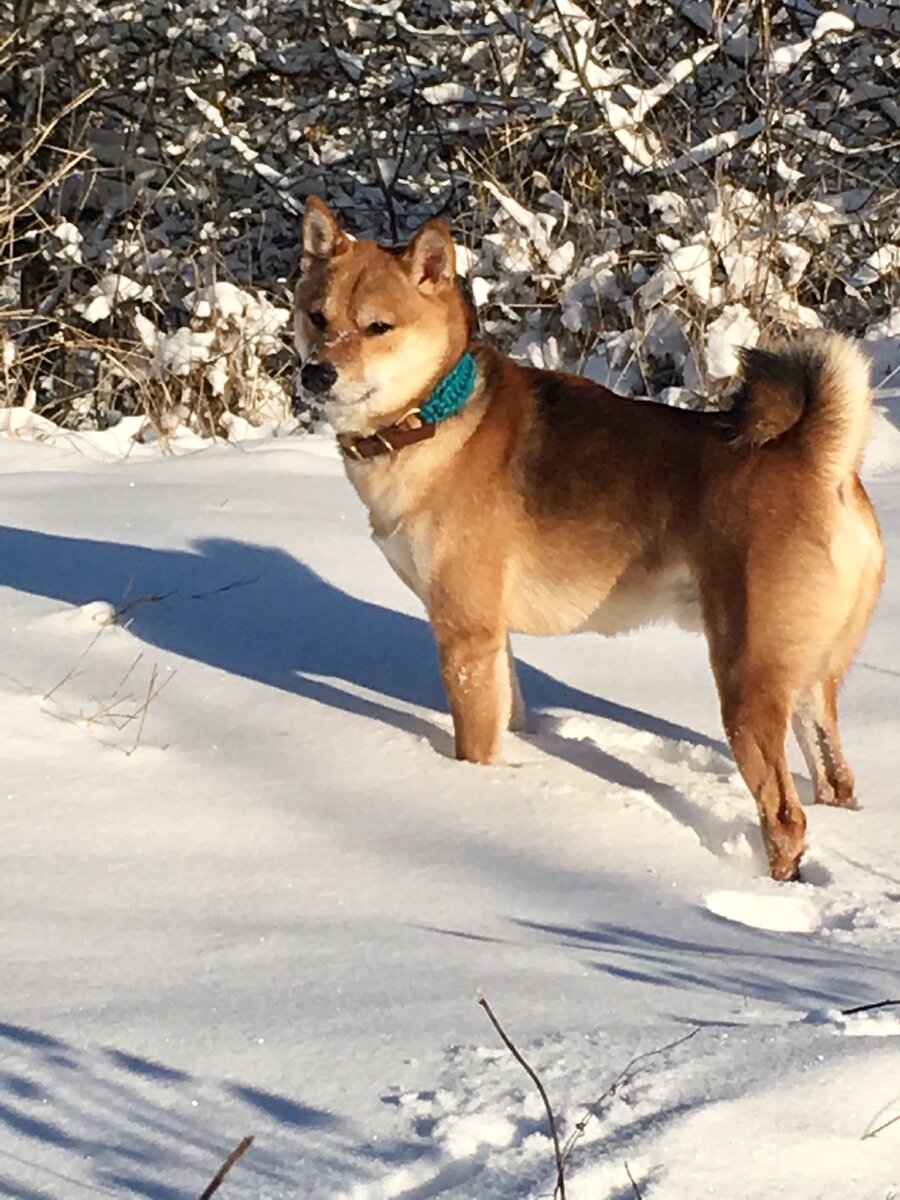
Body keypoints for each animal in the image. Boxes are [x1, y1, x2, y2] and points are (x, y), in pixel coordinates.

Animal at [297, 196, 888, 883]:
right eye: (317, 316)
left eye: (378, 327)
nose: (316, 374)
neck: (435, 417)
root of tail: (816, 456)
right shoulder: (493, 637)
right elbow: (509, 716)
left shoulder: (464, 635)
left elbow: (474, 744)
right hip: (811, 679)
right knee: (835, 780)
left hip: (748, 680)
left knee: (787, 818)